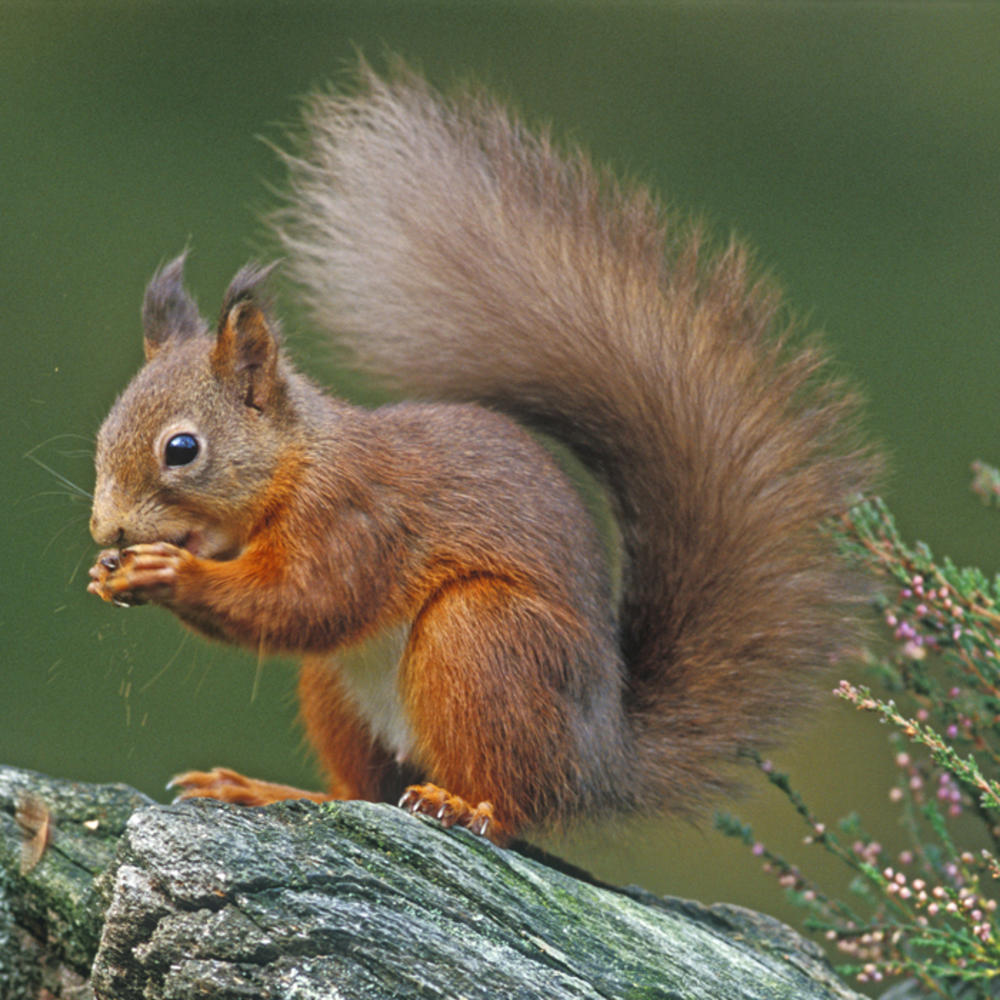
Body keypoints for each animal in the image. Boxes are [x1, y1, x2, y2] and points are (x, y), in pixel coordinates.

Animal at [90, 64, 880, 844]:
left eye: (182, 449)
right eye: (102, 436)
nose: (106, 530)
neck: (297, 462)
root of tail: (599, 761)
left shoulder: (354, 518)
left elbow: (304, 601)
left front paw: (168, 572)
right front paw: (112, 572)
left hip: (483, 640)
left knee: (512, 802)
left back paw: (464, 806)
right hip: (337, 689)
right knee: (362, 790)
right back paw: (267, 791)